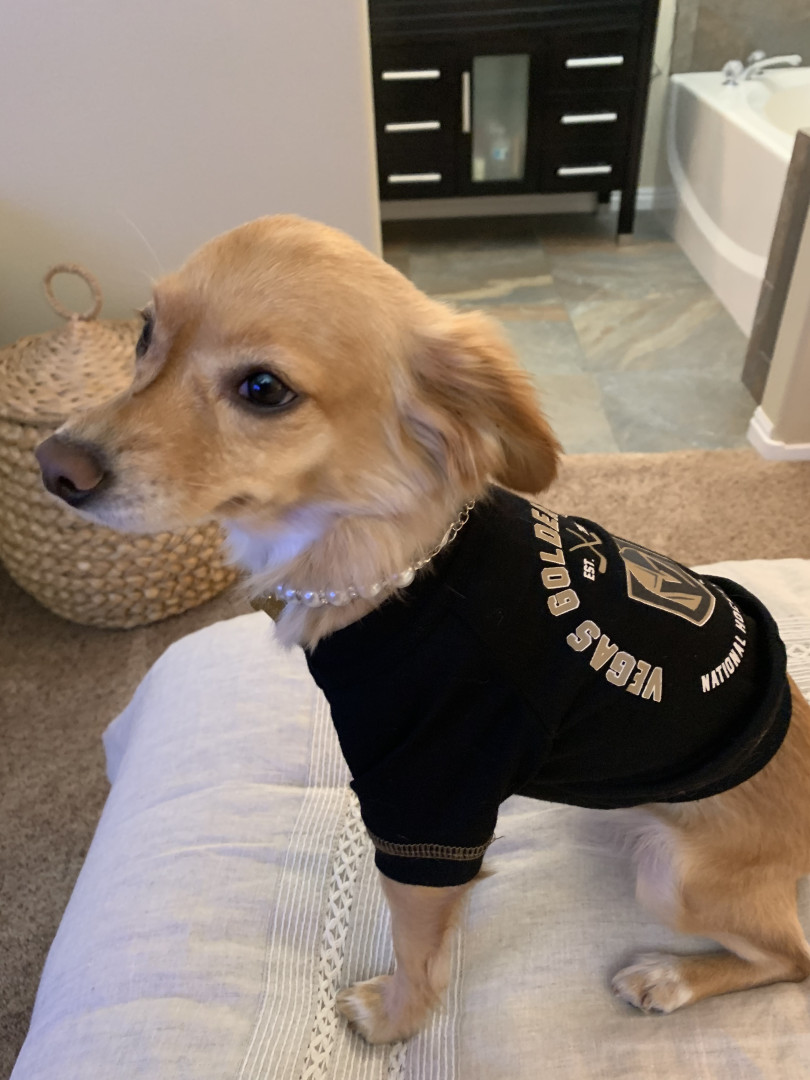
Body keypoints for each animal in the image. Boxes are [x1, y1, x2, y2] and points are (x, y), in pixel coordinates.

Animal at [36, 215, 810, 1045]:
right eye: (147, 333)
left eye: (264, 389)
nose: (54, 466)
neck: (394, 564)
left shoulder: (427, 795)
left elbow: (415, 938)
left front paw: (396, 1018)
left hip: (674, 877)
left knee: (794, 960)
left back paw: (672, 976)